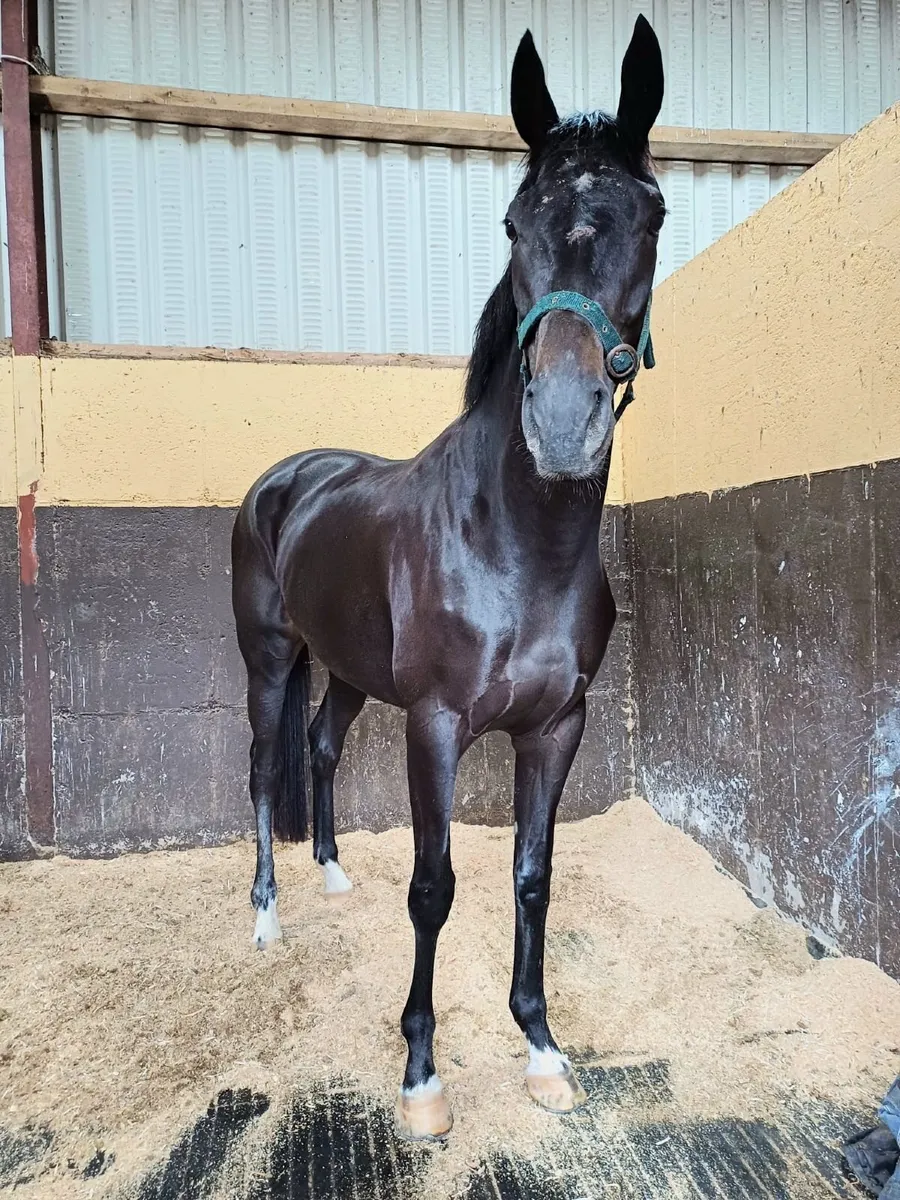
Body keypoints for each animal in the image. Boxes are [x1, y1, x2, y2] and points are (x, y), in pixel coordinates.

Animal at [232, 14, 665, 1141]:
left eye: (651, 216)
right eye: (513, 224)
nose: (561, 422)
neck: (517, 544)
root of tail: (288, 477)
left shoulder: (558, 728)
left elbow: (531, 878)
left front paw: (543, 1050)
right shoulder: (433, 725)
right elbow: (434, 888)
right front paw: (421, 1074)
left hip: (346, 671)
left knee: (321, 744)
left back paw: (333, 875)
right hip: (269, 658)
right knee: (263, 764)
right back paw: (266, 919)